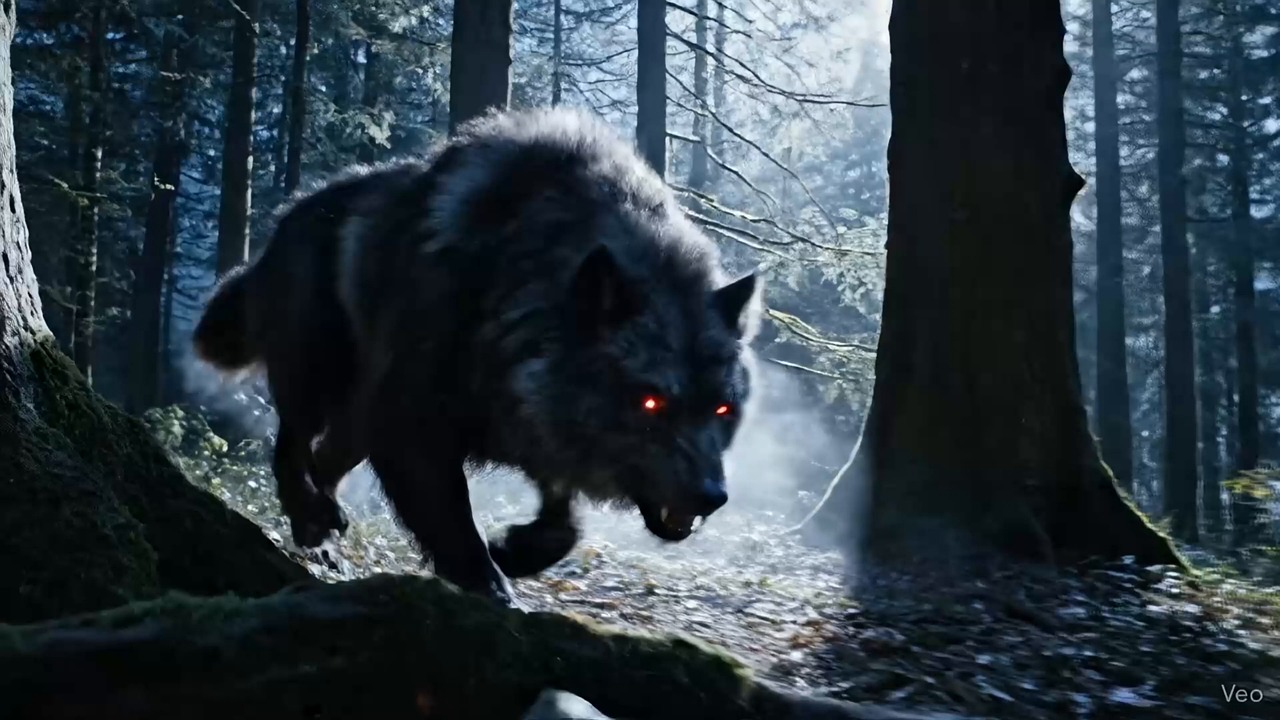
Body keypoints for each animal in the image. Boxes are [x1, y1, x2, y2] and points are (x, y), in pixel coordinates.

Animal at [192, 107, 763, 606]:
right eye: (651, 403)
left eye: (722, 410)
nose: (712, 496)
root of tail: (290, 213)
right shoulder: (413, 424)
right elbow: (453, 518)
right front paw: (491, 584)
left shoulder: (534, 430)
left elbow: (565, 526)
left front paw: (513, 551)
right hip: (320, 374)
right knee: (290, 442)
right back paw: (310, 517)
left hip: (356, 421)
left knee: (323, 458)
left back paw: (324, 529)